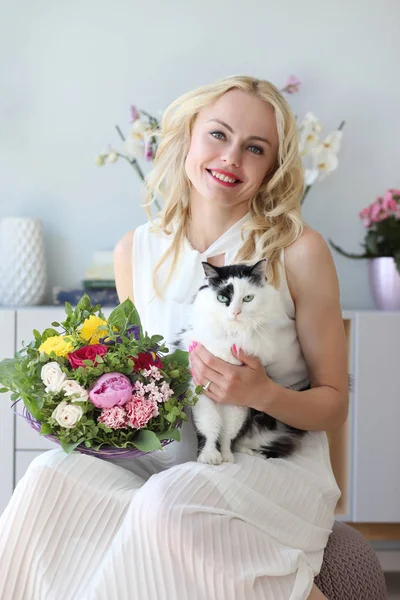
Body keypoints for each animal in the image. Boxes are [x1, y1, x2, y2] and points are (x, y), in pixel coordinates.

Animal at [178, 260, 306, 466]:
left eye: (248, 298)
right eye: (222, 297)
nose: (236, 312)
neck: (232, 336)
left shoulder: (237, 400)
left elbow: (227, 433)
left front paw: (226, 457)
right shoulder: (200, 391)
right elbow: (209, 427)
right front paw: (209, 457)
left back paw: (251, 453)